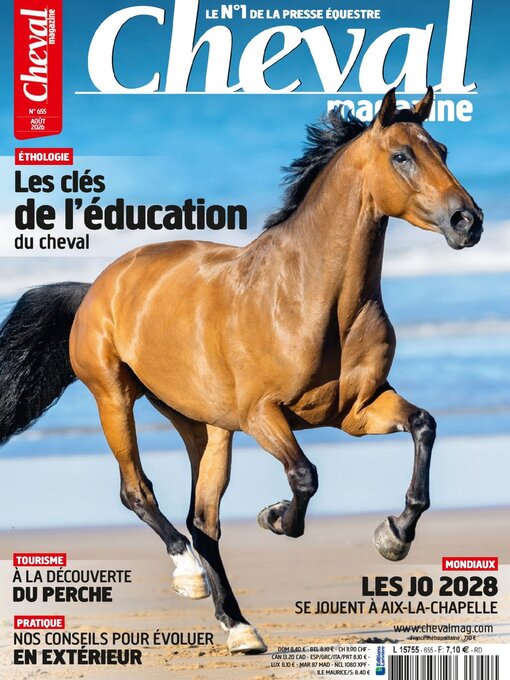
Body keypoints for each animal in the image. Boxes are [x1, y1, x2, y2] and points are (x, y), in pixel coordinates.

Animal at [0, 87, 483, 654]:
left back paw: (238, 626)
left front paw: (394, 536)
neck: (310, 298)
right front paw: (274, 517)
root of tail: (96, 287)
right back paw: (189, 575)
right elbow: (304, 476)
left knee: (203, 520)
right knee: (138, 492)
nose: (467, 221)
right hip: (115, 399)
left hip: (205, 426)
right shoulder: (262, 415)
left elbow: (423, 425)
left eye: (443, 149)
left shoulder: (359, 410)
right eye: (401, 156)